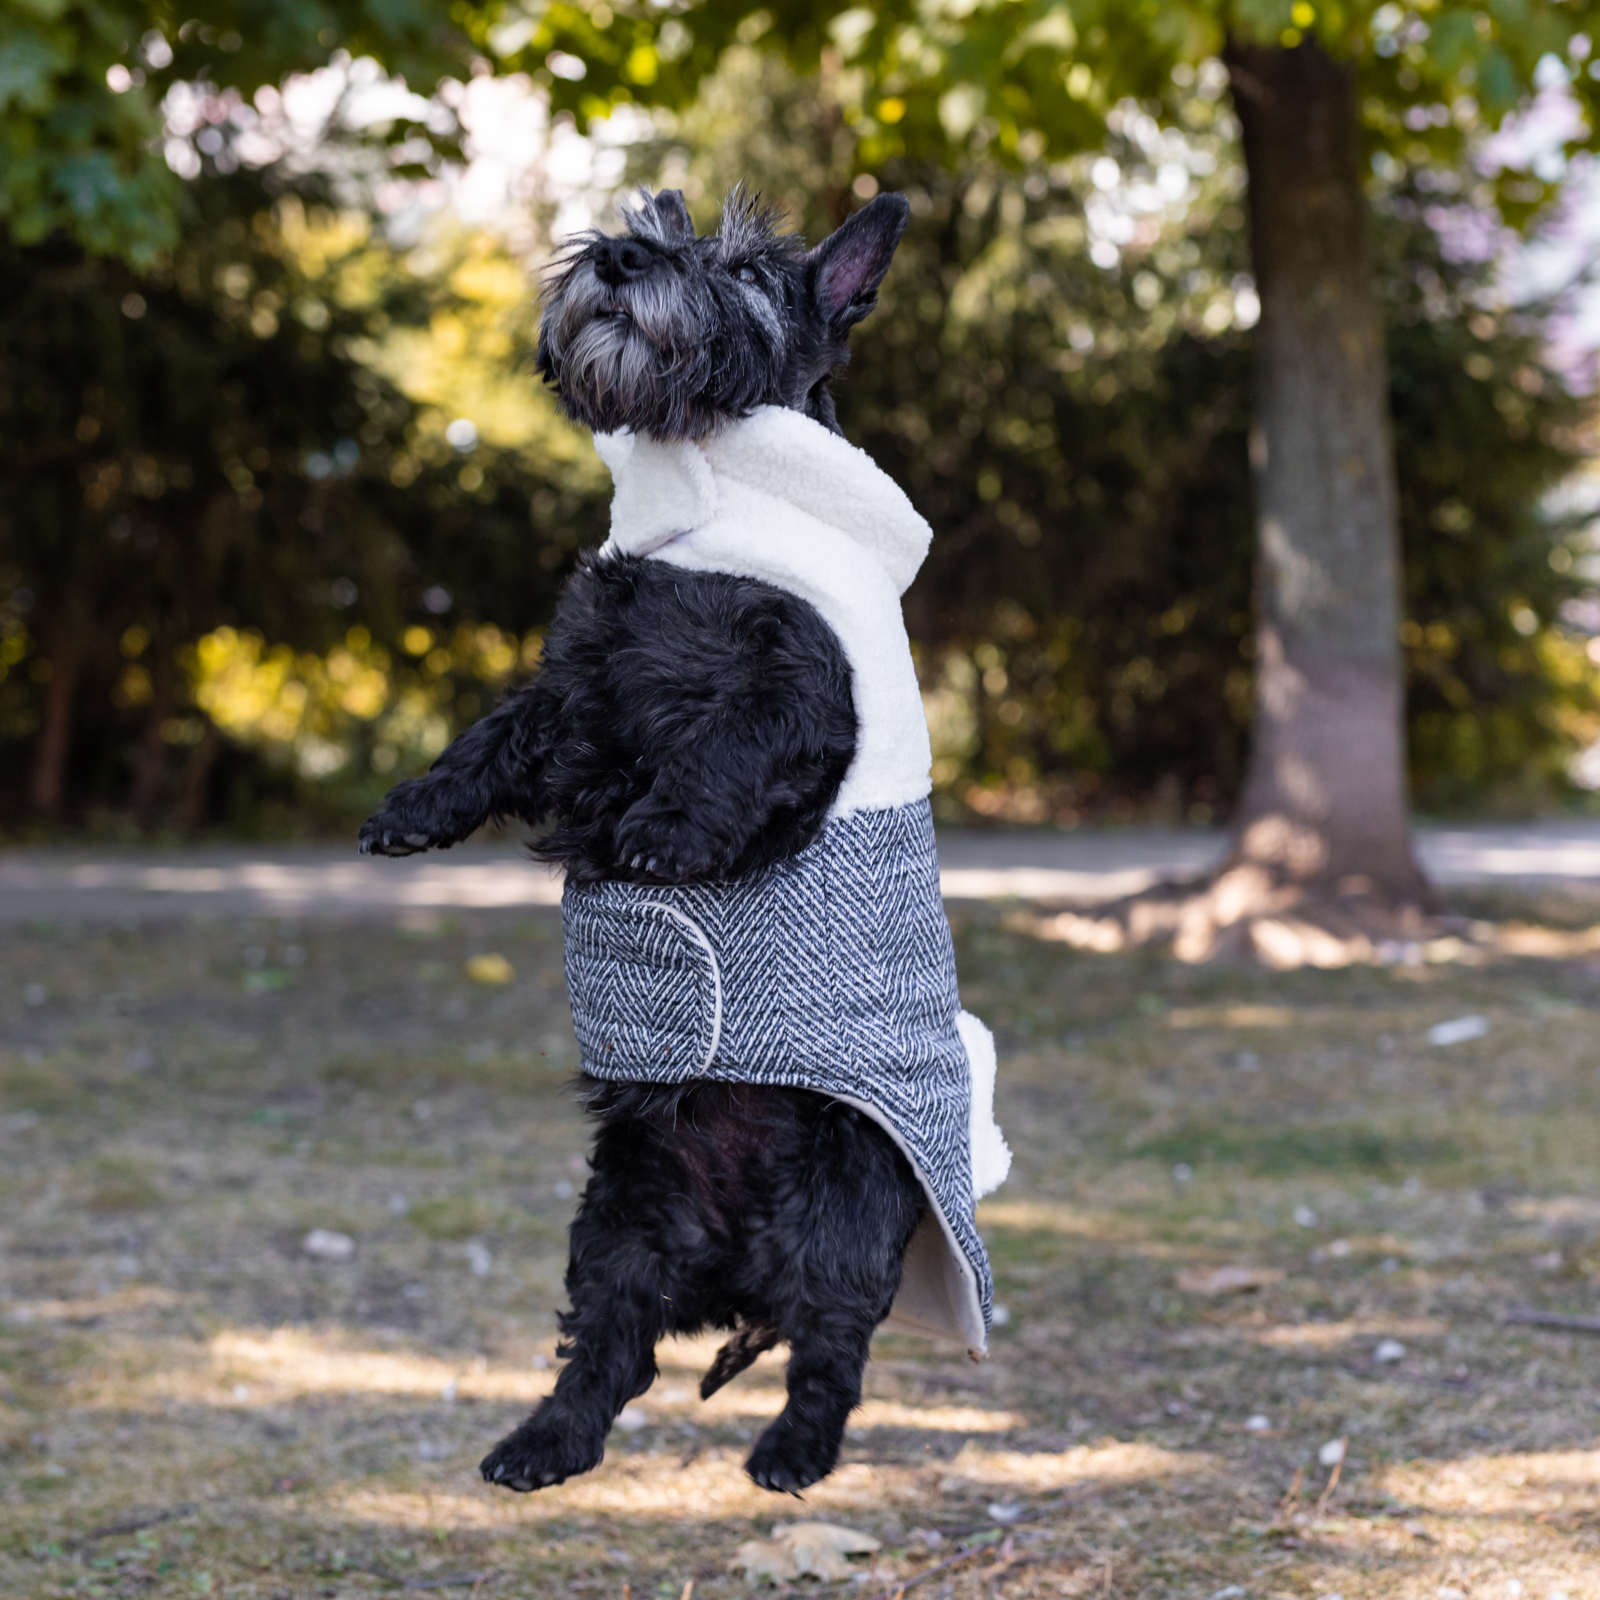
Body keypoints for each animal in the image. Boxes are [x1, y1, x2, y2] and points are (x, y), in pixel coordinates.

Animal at [363, 187, 1011, 1497]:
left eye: (750, 270)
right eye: (652, 219)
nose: (620, 257)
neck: (706, 511)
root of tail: (733, 1273)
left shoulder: (804, 693)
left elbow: (733, 744)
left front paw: (662, 834)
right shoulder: (575, 683)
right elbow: (496, 731)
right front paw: (415, 806)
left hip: (838, 1209)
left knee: (829, 1354)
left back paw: (790, 1455)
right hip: (620, 1215)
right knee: (610, 1353)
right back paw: (538, 1445)